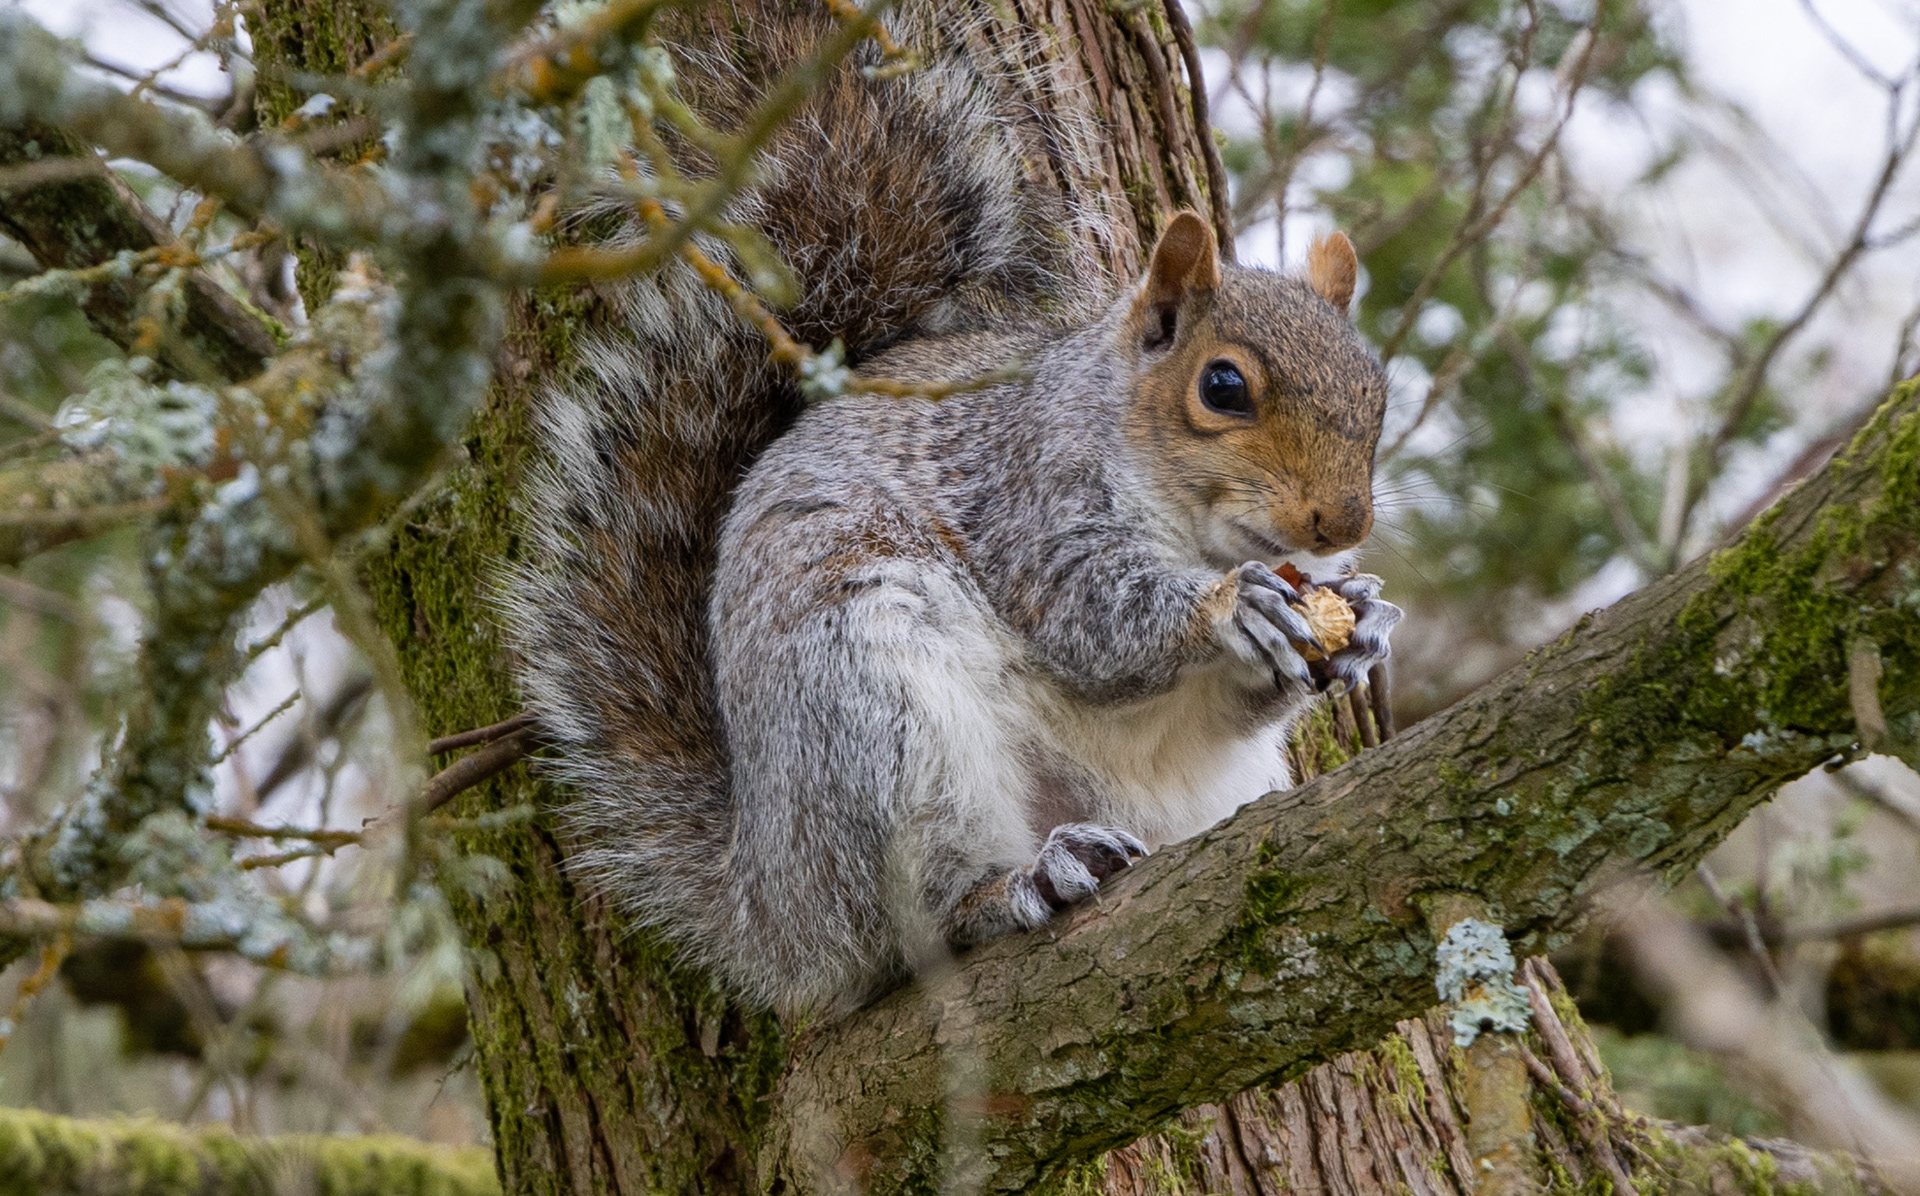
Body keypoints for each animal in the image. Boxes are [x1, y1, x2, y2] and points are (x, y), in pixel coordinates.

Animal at [500, 13, 1401, 1018]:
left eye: (1378, 393)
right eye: (1224, 387)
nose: (1340, 525)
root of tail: (772, 907)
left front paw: (1363, 620)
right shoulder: (1026, 499)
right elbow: (1093, 621)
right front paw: (1232, 608)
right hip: (872, 715)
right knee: (921, 917)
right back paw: (1020, 884)